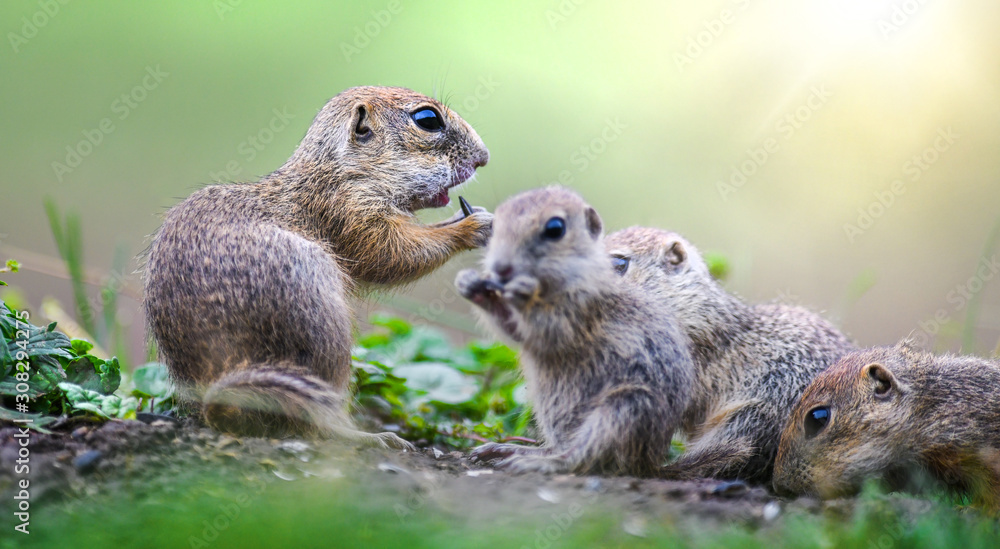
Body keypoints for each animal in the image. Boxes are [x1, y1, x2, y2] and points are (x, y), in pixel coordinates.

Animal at [143, 86, 492, 447]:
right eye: (428, 120)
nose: (483, 157)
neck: (342, 169)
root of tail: (219, 400)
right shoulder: (352, 211)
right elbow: (392, 256)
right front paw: (472, 226)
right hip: (325, 331)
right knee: (320, 423)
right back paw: (371, 437)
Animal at [455, 186, 695, 476]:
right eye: (497, 224)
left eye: (555, 229)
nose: (501, 269)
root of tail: (649, 464)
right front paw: (469, 283)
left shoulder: (578, 313)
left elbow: (543, 329)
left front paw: (519, 291)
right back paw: (506, 449)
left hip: (622, 409)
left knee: (582, 457)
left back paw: (531, 461)